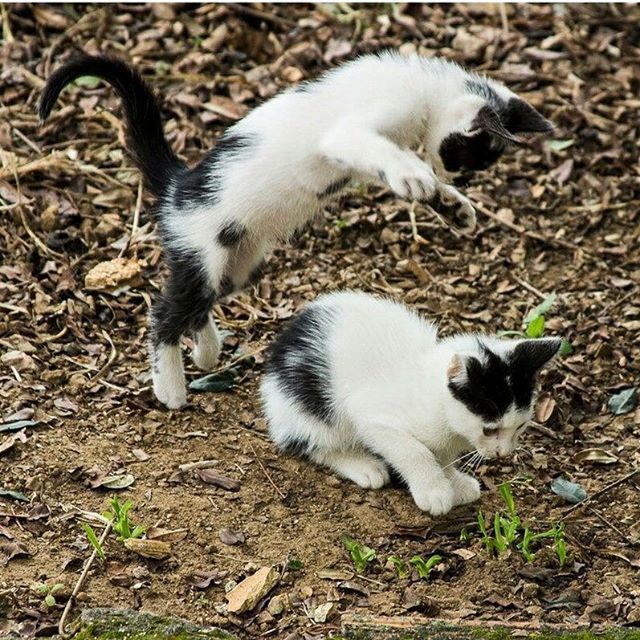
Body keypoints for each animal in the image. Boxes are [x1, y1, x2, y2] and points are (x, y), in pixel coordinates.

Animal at [37, 51, 552, 410]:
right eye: (465, 155)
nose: (456, 178)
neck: (422, 89)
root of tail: (179, 186)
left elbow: (397, 167)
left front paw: (449, 204)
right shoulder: (351, 132)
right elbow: (387, 154)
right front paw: (423, 180)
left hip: (239, 265)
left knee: (198, 306)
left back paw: (206, 353)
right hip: (202, 253)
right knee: (165, 313)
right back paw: (171, 387)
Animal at [260, 290, 560, 516]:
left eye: (520, 426)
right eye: (490, 429)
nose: (504, 453)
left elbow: (442, 456)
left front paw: (454, 483)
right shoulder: (372, 417)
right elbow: (415, 451)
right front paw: (435, 491)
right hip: (311, 411)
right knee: (312, 443)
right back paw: (363, 465)